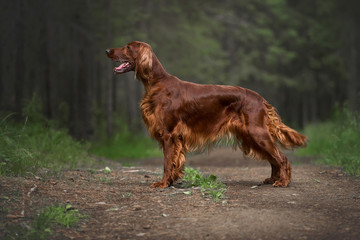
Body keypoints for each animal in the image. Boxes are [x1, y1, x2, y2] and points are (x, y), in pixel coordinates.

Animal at [106, 40, 306, 188]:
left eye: (128, 47)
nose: (107, 50)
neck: (157, 83)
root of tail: (260, 98)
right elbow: (173, 162)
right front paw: (171, 181)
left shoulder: (169, 134)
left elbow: (167, 162)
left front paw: (163, 183)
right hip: (251, 135)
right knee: (273, 158)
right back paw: (273, 179)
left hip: (256, 132)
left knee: (281, 157)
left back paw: (283, 182)